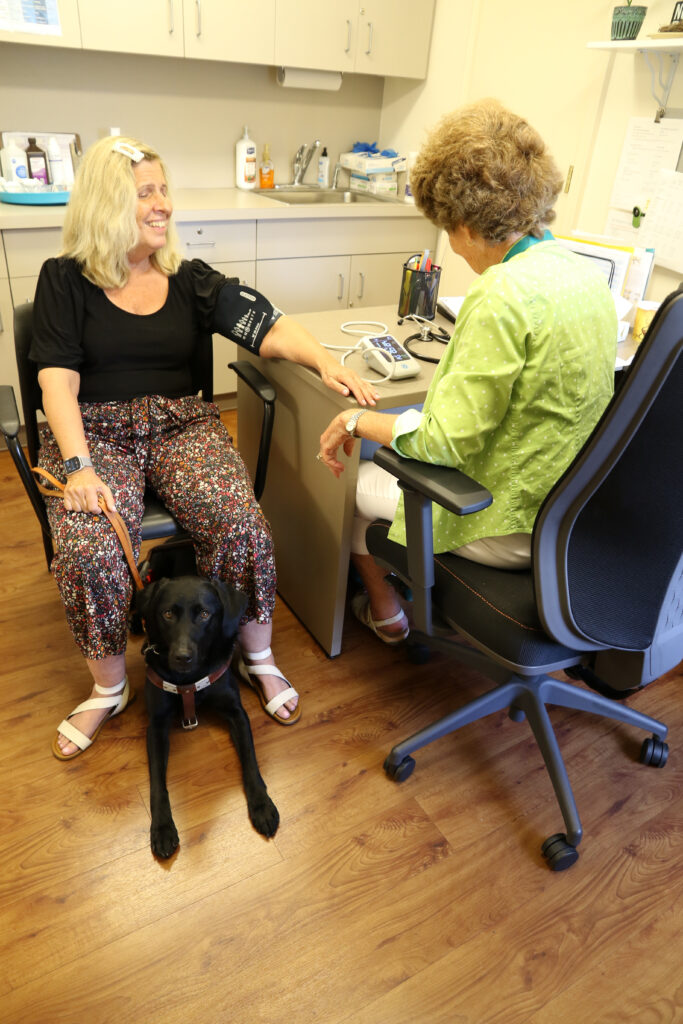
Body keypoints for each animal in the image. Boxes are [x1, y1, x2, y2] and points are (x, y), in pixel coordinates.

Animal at [137, 577, 280, 856]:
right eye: (167, 613)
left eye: (204, 614)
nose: (182, 657)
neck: (189, 680)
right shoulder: (156, 726)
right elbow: (158, 784)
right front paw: (162, 828)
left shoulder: (237, 712)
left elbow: (250, 759)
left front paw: (262, 805)